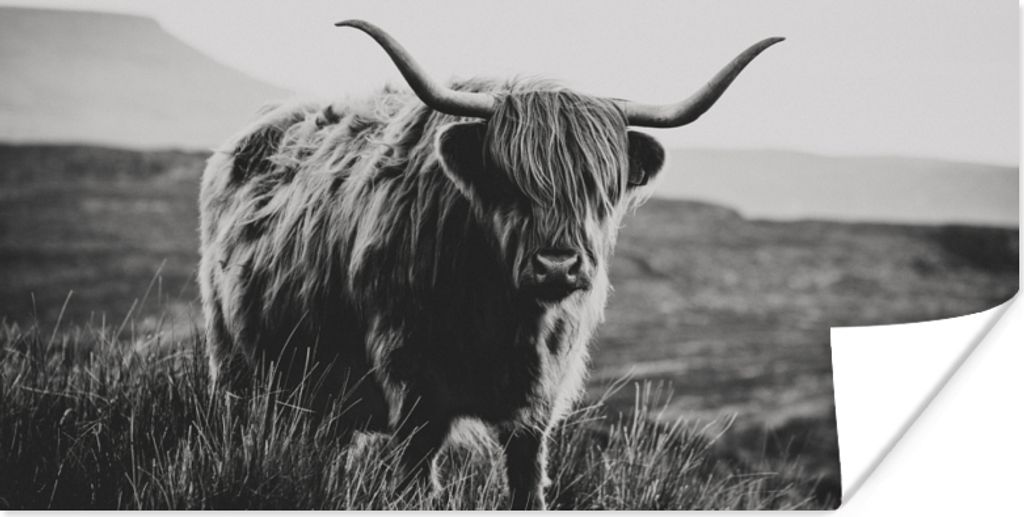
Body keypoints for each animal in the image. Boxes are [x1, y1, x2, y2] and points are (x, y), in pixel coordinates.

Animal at [198, 19, 782, 509]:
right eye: (509, 180)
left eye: (599, 187)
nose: (557, 267)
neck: (503, 316)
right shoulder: (415, 387)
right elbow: (415, 483)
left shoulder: (538, 404)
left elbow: (527, 484)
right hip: (237, 369)